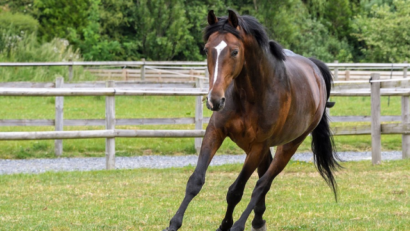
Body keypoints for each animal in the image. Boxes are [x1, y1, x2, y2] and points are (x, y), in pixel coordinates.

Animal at [163, 9, 340, 230]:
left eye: (235, 51)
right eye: (206, 50)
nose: (215, 100)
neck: (252, 94)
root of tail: (314, 70)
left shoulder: (258, 146)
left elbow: (236, 191)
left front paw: (227, 225)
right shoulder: (215, 131)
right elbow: (195, 181)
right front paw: (174, 223)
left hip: (288, 145)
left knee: (263, 184)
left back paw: (244, 223)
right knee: (262, 178)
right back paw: (258, 220)